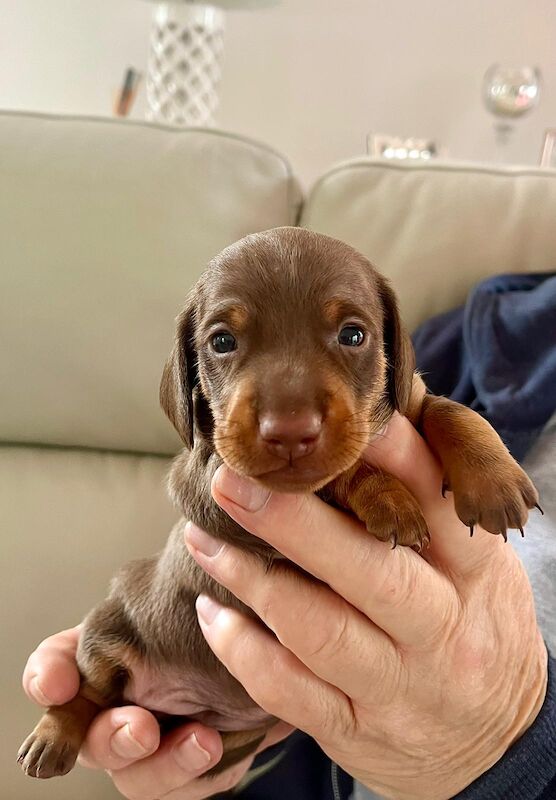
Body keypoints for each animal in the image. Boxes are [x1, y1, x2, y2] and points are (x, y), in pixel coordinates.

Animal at [19, 227, 536, 780]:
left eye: (353, 335)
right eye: (222, 341)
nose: (288, 432)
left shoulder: (409, 404)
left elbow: (449, 410)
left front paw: (493, 478)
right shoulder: (210, 479)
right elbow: (342, 472)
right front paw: (389, 497)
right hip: (107, 625)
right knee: (87, 690)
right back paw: (51, 736)